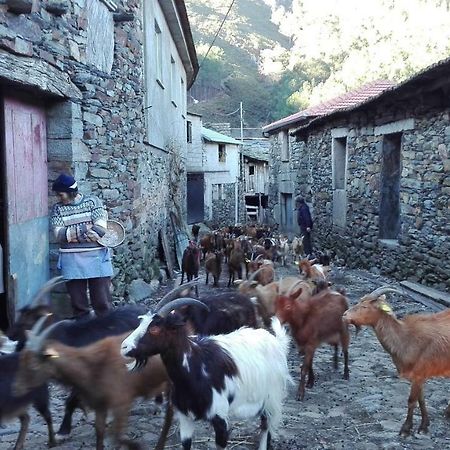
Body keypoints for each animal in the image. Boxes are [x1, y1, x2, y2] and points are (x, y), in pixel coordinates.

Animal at [14, 328, 171, 448]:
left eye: (34, 365)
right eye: (22, 359)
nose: (17, 388)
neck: (93, 367)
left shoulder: (122, 400)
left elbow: (116, 436)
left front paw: (136, 446)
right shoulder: (100, 405)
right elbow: (100, 433)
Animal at [119, 298, 290, 450]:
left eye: (155, 329)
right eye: (141, 323)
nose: (124, 347)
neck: (196, 369)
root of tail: (276, 341)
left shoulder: (220, 417)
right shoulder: (185, 417)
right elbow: (186, 444)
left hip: (271, 398)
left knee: (266, 426)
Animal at [344, 286, 450, 438]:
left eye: (364, 306)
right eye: (359, 301)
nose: (344, 315)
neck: (406, 338)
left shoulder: (419, 372)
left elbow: (412, 400)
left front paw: (405, 429)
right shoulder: (419, 376)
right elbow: (421, 399)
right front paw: (424, 426)